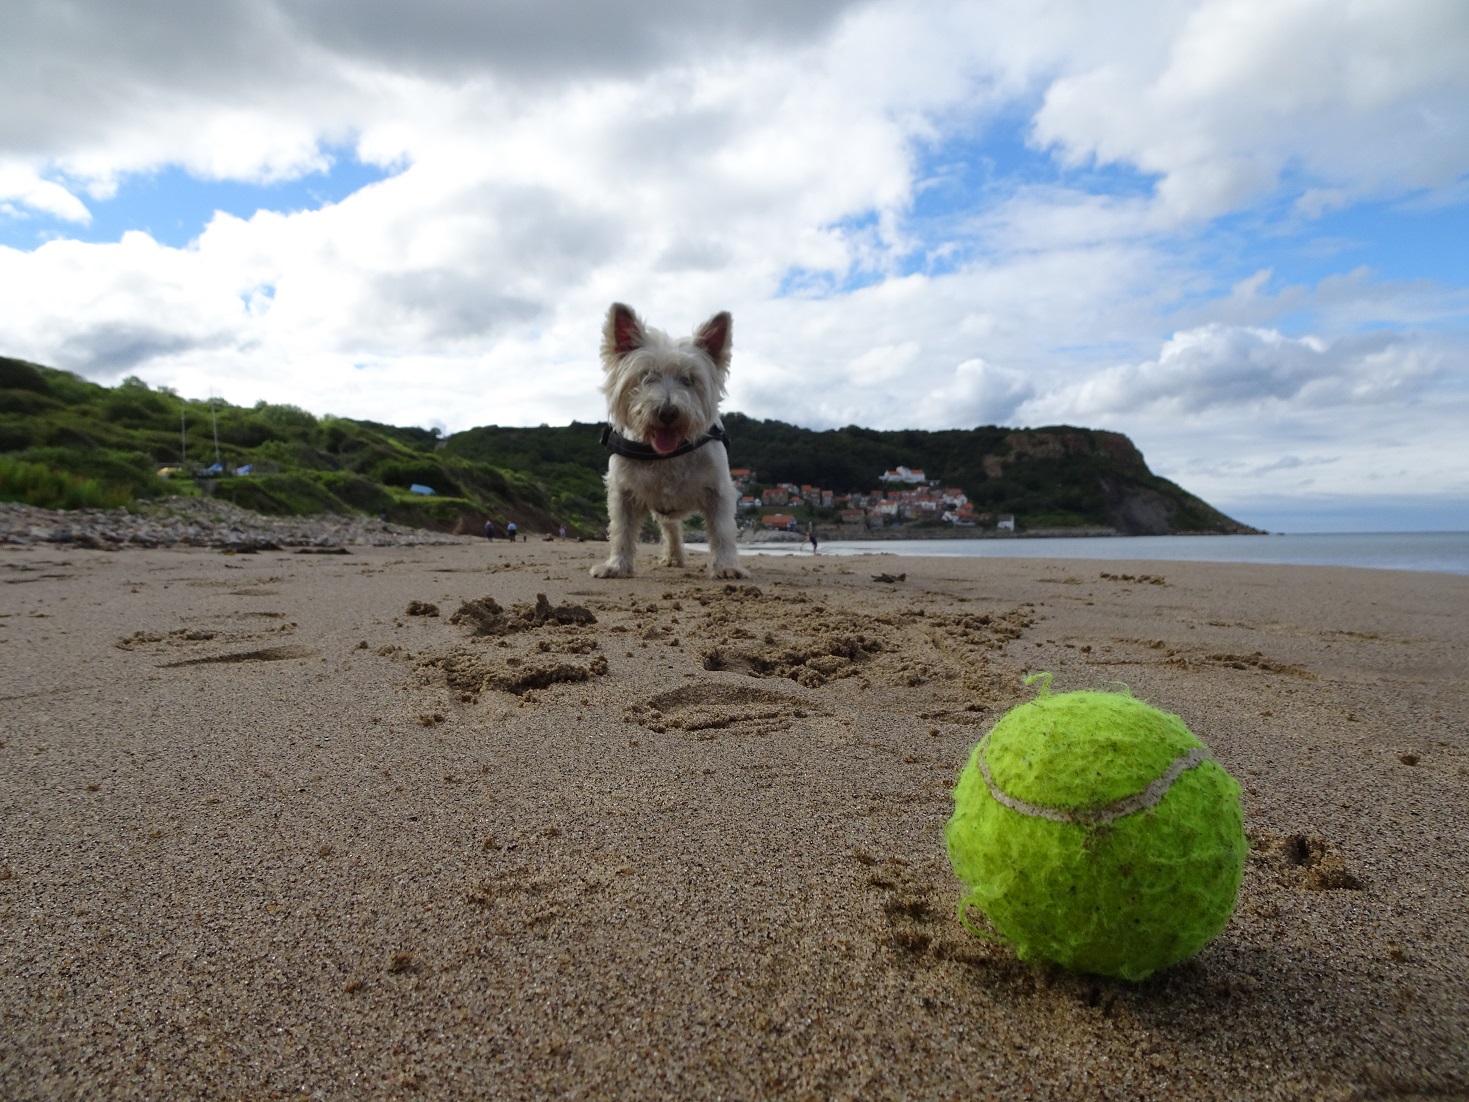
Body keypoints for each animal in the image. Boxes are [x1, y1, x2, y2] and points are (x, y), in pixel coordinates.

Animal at [587, 302, 746, 578]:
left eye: (688, 379)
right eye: (646, 376)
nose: (668, 412)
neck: (665, 454)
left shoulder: (718, 491)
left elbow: (722, 530)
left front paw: (727, 567)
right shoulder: (623, 492)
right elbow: (621, 531)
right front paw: (615, 566)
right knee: (670, 528)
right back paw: (672, 557)